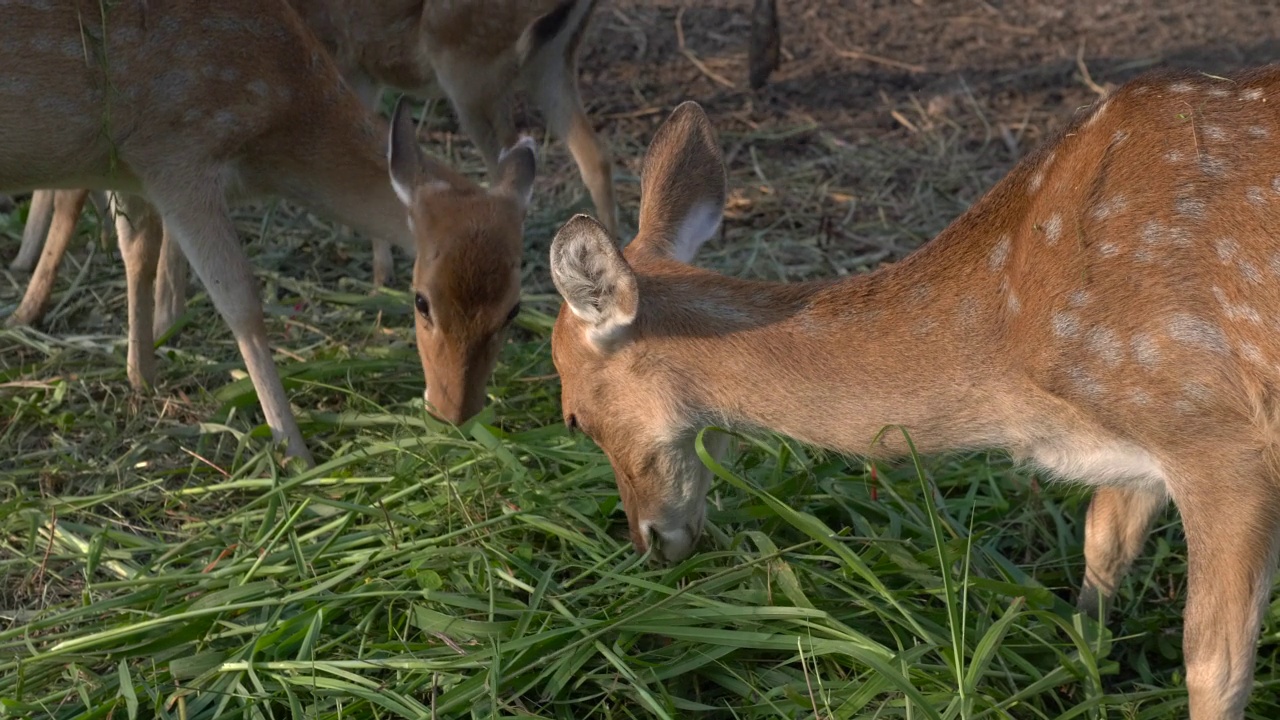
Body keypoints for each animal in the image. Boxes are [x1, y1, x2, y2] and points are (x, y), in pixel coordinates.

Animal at [1, 0, 540, 466]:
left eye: (514, 309)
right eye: (421, 302)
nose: (454, 415)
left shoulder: (127, 167)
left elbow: (138, 251)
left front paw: (143, 378)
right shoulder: (175, 152)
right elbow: (240, 302)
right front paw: (295, 448)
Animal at [547, 68, 1280, 717]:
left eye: (574, 418)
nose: (650, 542)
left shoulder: (1210, 428)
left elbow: (1214, 666)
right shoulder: (1144, 442)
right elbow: (1103, 544)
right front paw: (1086, 670)